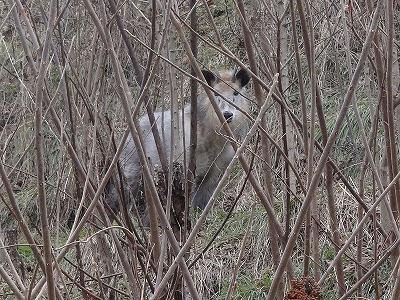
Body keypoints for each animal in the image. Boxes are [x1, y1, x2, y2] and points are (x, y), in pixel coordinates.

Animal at [106, 67, 250, 219]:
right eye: (215, 93)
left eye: (236, 92)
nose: (227, 114)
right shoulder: (186, 172)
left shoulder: (213, 175)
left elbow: (200, 206)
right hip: (131, 173)